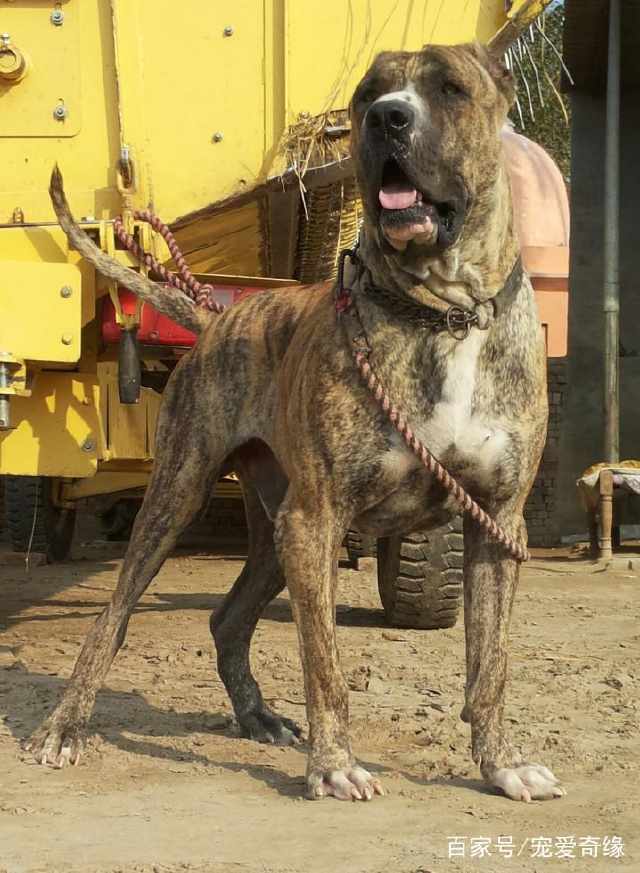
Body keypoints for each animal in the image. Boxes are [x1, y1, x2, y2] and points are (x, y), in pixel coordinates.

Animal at [26, 44, 564, 800]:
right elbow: (325, 663)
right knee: (113, 615)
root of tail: (216, 318)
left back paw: (257, 716)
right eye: (367, 93)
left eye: (450, 88)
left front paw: (503, 763)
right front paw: (333, 763)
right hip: (184, 497)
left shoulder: (497, 523)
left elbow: (491, 664)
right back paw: (65, 728)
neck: (444, 312)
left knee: (227, 618)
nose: (387, 118)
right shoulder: (317, 519)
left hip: (276, 530)